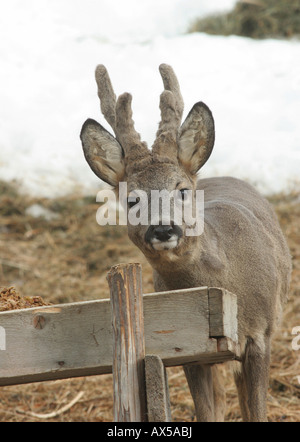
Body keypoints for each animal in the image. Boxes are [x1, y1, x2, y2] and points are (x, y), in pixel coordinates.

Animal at [79, 64, 290, 422]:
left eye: (181, 190)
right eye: (132, 199)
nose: (163, 229)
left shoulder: (261, 333)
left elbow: (256, 411)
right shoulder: (189, 346)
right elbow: (207, 411)